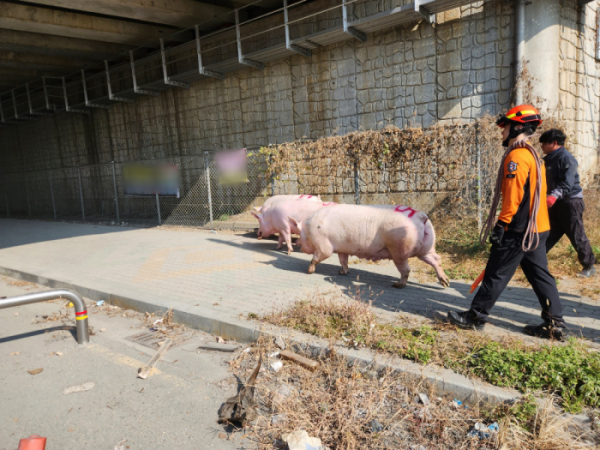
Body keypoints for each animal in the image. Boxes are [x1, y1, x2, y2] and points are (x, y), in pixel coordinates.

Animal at [290, 204, 450, 288]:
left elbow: (318, 257)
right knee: (436, 259)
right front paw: (342, 273)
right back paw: (445, 283)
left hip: (399, 249)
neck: (308, 229)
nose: (298, 244)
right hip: (427, 248)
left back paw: (397, 285)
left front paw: (309, 271)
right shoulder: (343, 249)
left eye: (300, 234)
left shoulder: (324, 245)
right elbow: (343, 261)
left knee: (406, 269)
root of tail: (420, 217)